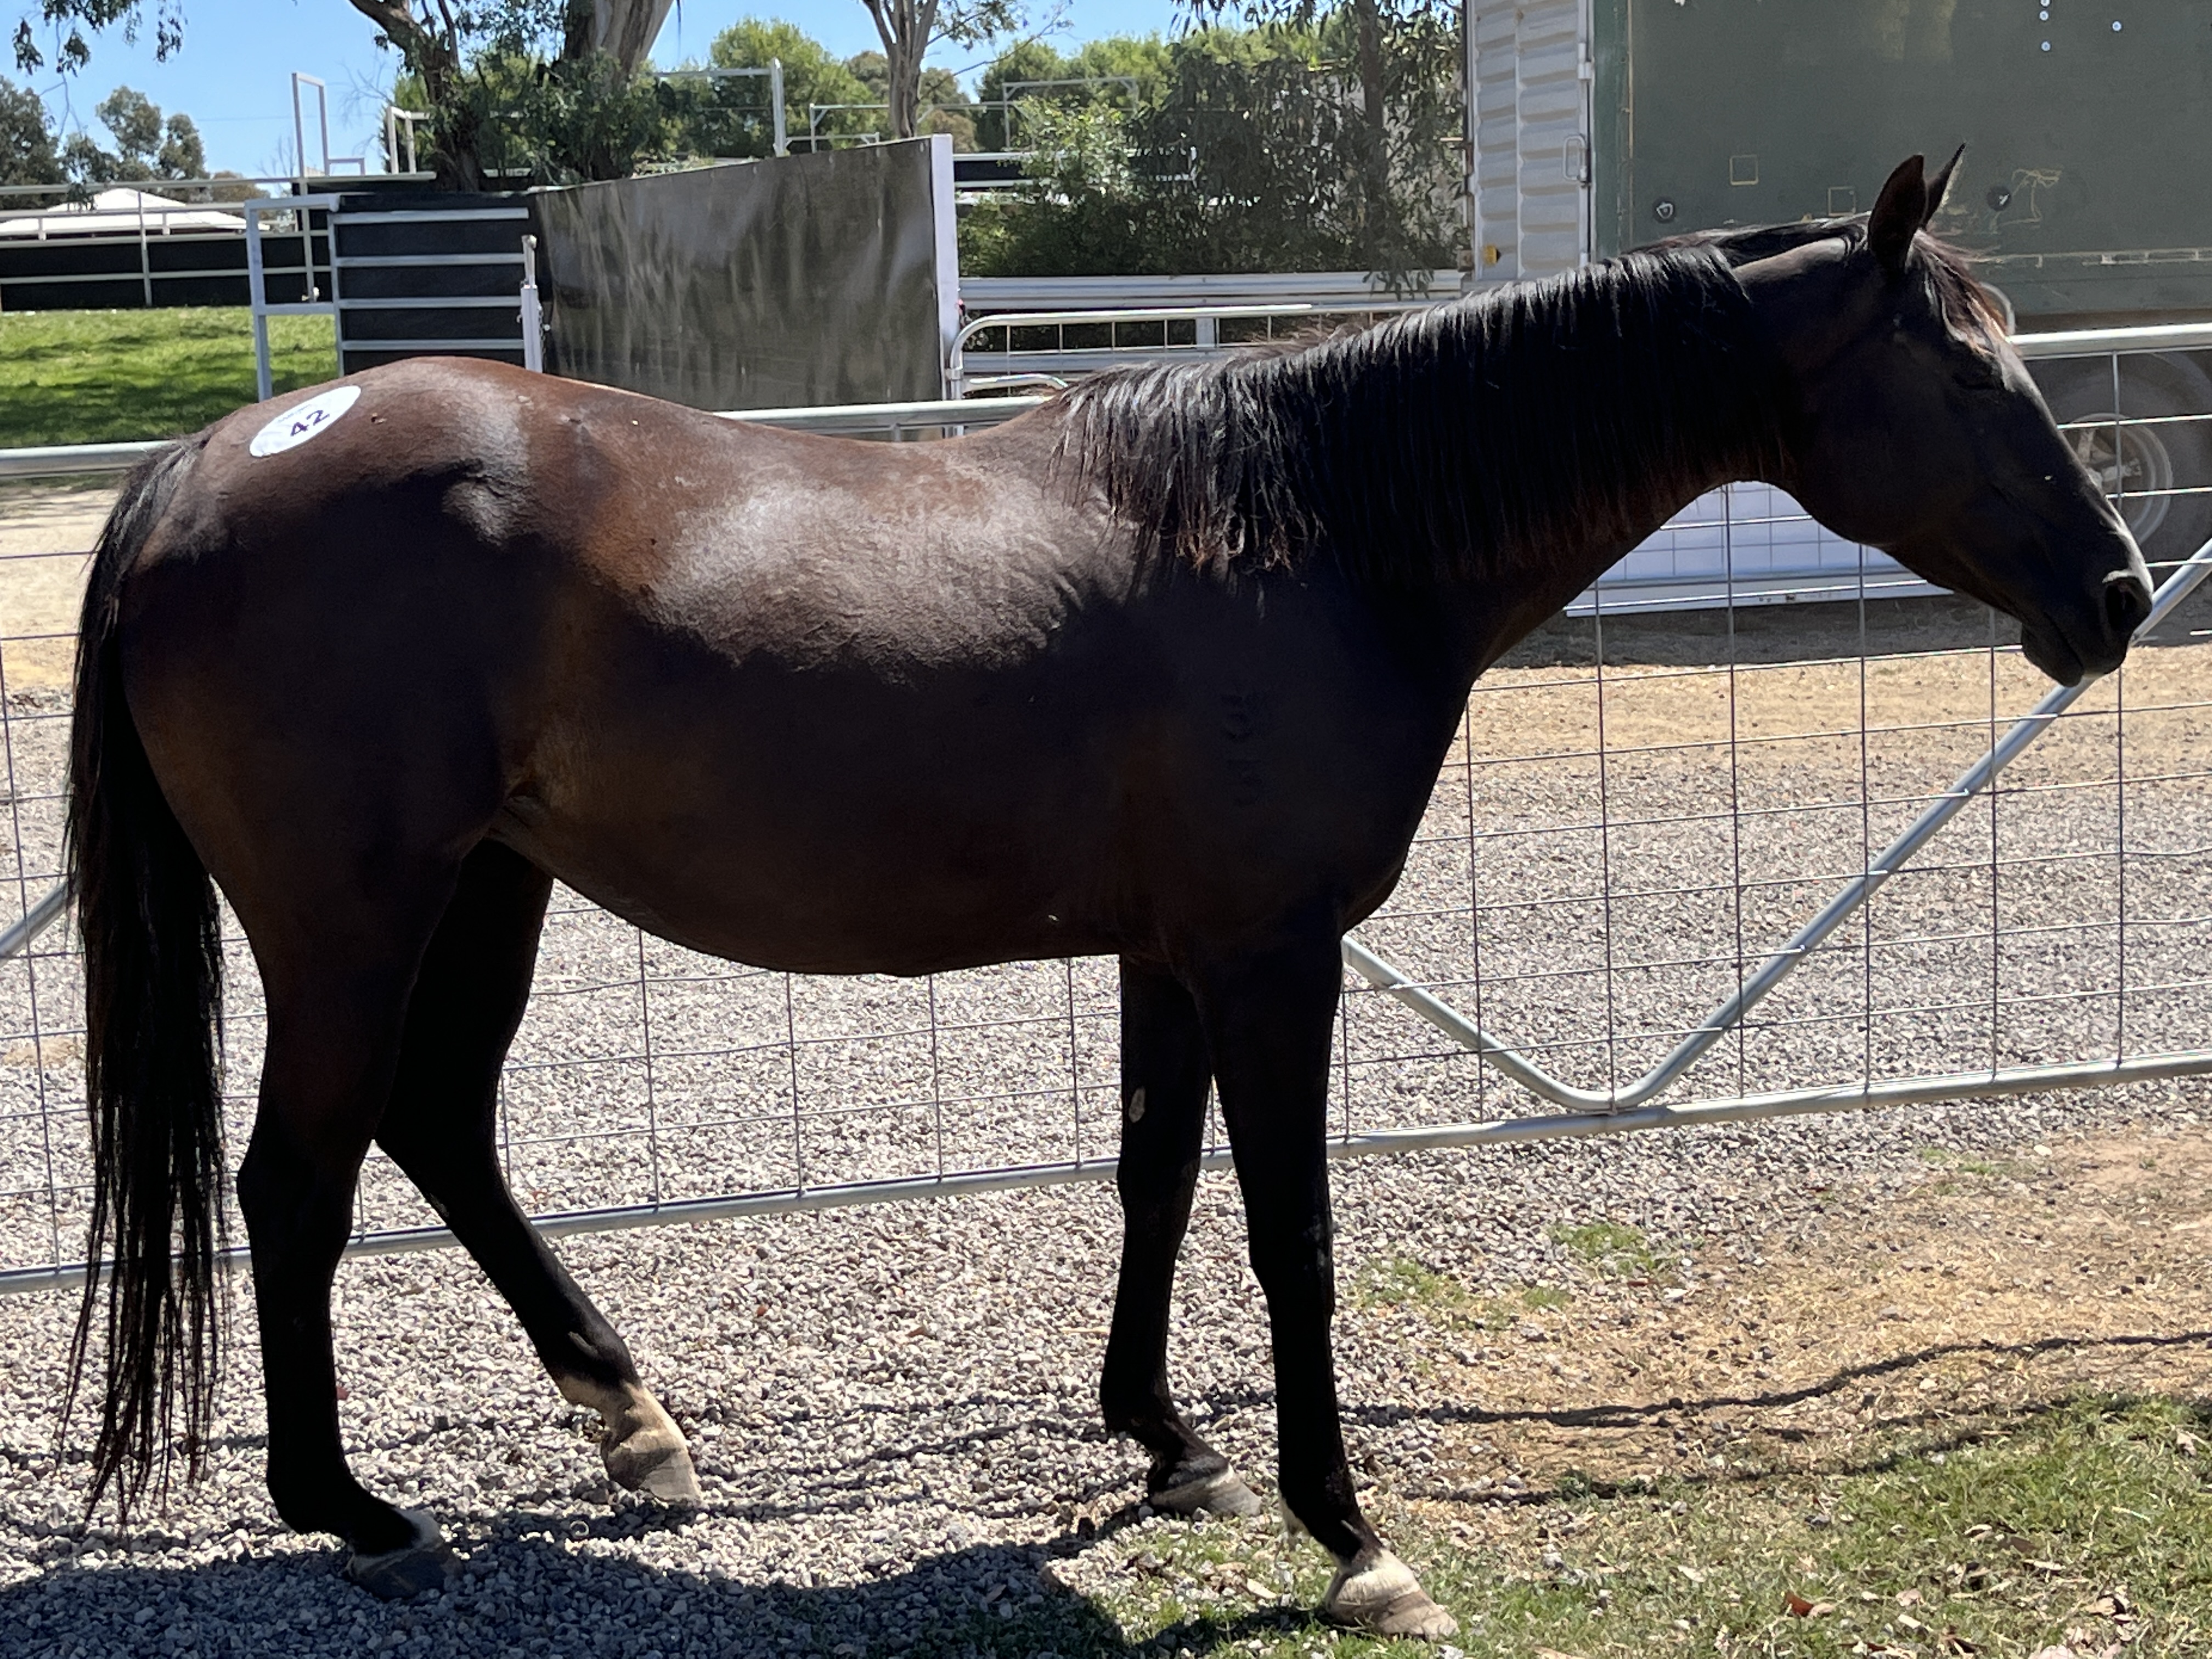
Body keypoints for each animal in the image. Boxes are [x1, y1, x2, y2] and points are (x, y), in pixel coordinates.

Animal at [60, 153, 2148, 1636]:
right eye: (1962, 368)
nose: (2121, 591)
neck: (1319, 527)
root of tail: (203, 462)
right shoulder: (1274, 955)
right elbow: (1292, 1233)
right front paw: (1347, 1531)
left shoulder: (1174, 947)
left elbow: (1152, 1176)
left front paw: (1168, 1445)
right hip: (350, 923)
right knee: (296, 1183)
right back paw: (351, 1512)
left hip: (491, 891)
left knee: (437, 1128)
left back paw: (631, 1423)